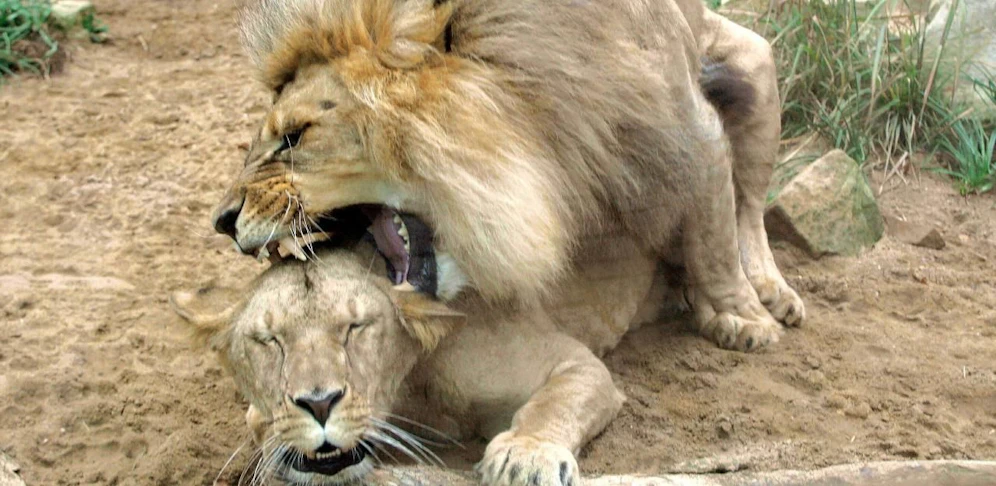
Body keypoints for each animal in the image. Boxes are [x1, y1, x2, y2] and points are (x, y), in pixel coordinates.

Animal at [172, 236, 672, 486]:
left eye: (356, 327)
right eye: (268, 340)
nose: (318, 404)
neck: (408, 391)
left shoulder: (573, 361)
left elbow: (554, 402)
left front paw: (527, 456)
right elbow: (259, 422)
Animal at [209, 0, 804, 352]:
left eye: (295, 135)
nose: (221, 221)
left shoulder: (687, 125)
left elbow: (714, 234)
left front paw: (741, 318)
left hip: (755, 59)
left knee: (748, 208)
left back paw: (770, 289)